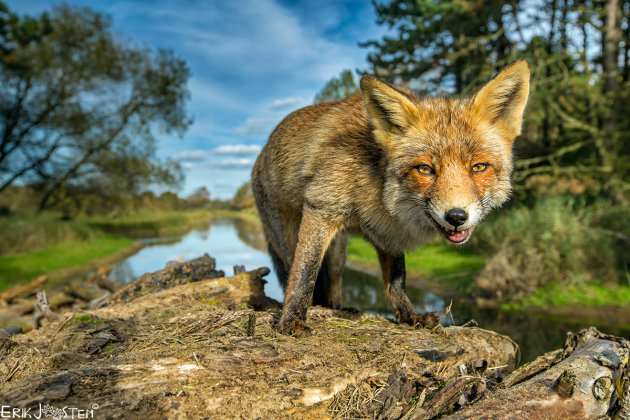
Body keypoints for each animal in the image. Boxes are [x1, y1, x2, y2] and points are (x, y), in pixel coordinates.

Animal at [252, 60, 532, 334]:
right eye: (425, 169)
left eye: (478, 167)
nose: (456, 216)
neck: (380, 192)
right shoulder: (322, 205)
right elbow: (304, 272)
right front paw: (292, 318)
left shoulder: (389, 233)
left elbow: (396, 281)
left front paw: (409, 316)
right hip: (289, 239)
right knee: (294, 268)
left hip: (338, 256)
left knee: (334, 282)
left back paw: (338, 308)